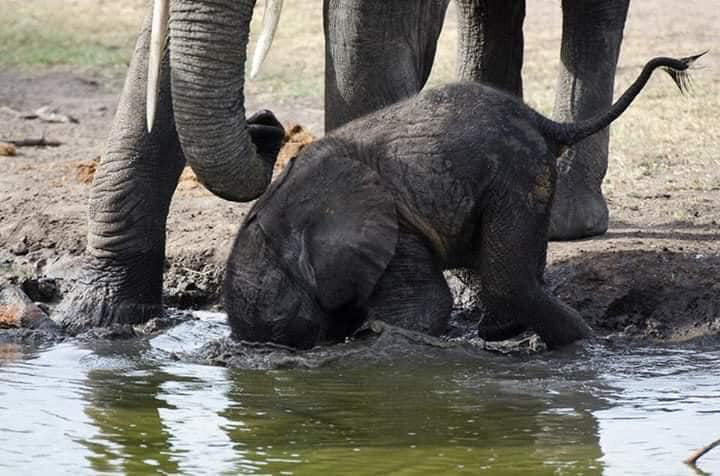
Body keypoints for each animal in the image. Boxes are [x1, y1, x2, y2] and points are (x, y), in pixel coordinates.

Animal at [224, 54, 704, 350]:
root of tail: (539, 120)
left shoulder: (394, 226)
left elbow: (424, 309)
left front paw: (372, 339)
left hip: (516, 172)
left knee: (508, 279)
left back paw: (572, 343)